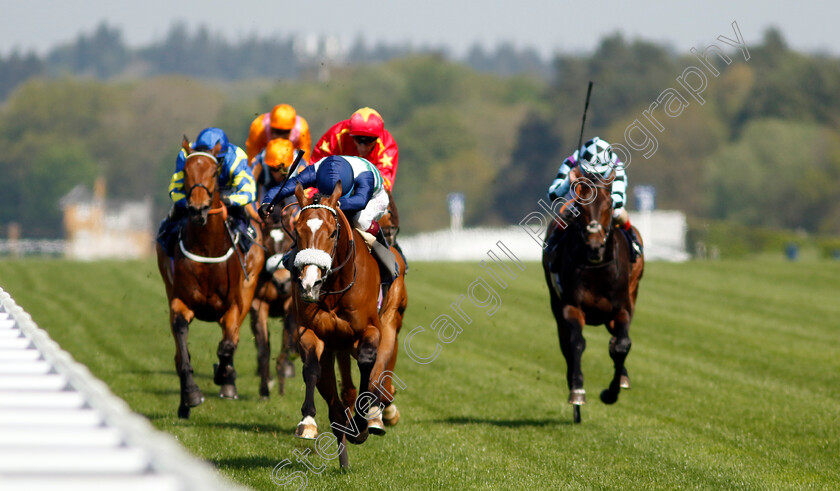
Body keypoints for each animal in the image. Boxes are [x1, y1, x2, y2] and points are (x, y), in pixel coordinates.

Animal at [154, 138, 264, 418]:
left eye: (214, 172)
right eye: (186, 171)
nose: (198, 209)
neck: (207, 248)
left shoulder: (234, 306)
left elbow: (227, 346)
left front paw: (225, 375)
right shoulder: (180, 301)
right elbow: (182, 346)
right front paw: (191, 394)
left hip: (249, 288)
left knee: (232, 340)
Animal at [288, 182, 406, 468]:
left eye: (332, 233)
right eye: (298, 231)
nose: (309, 284)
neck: (335, 287)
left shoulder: (370, 330)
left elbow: (367, 364)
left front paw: (364, 422)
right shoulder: (310, 332)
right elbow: (311, 368)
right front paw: (308, 422)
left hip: (389, 323)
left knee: (379, 374)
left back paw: (374, 415)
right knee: (336, 397)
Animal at [540, 167, 648, 424]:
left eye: (609, 204)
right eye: (581, 206)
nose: (595, 246)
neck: (598, 271)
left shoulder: (621, 308)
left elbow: (621, 345)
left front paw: (611, 392)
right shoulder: (570, 307)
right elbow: (576, 343)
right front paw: (577, 392)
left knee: (618, 341)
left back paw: (622, 376)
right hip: (555, 303)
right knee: (566, 345)